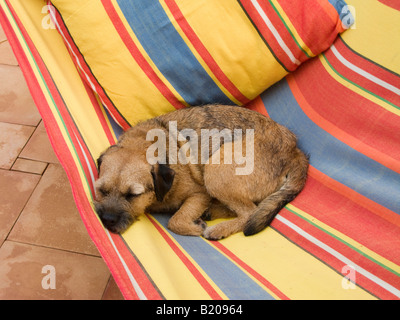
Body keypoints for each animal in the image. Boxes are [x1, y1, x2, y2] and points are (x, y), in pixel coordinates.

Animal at [94, 105, 310, 240]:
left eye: (133, 195)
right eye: (101, 191)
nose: (107, 220)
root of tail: (294, 150)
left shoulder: (200, 193)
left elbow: (175, 221)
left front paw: (194, 227)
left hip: (216, 171)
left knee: (249, 212)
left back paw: (218, 228)